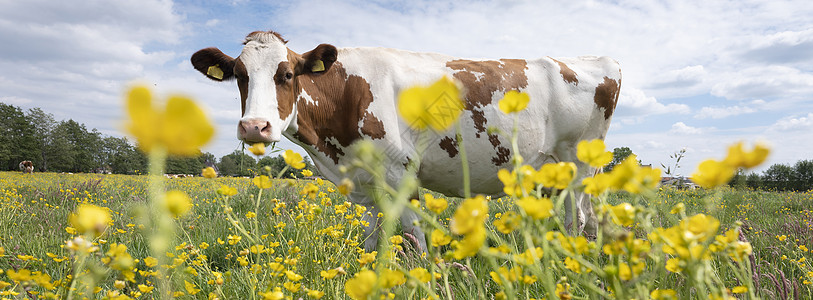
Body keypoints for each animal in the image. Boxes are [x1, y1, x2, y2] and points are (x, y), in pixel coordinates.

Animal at [192, 30, 620, 252]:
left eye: (286, 74)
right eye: (240, 75)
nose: (254, 127)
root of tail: (600, 60)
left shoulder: (402, 173)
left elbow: (415, 239)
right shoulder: (361, 184)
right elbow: (370, 238)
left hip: (577, 163)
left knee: (579, 218)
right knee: (587, 217)